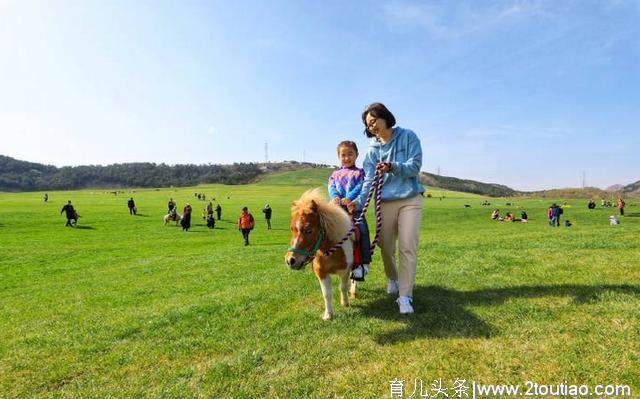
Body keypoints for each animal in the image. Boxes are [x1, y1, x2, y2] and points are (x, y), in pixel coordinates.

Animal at [286, 188, 358, 322]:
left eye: (308, 230)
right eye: (292, 229)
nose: (290, 260)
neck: (331, 250)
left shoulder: (344, 271)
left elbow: (343, 287)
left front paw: (345, 302)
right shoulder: (322, 273)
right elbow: (327, 294)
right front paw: (328, 314)